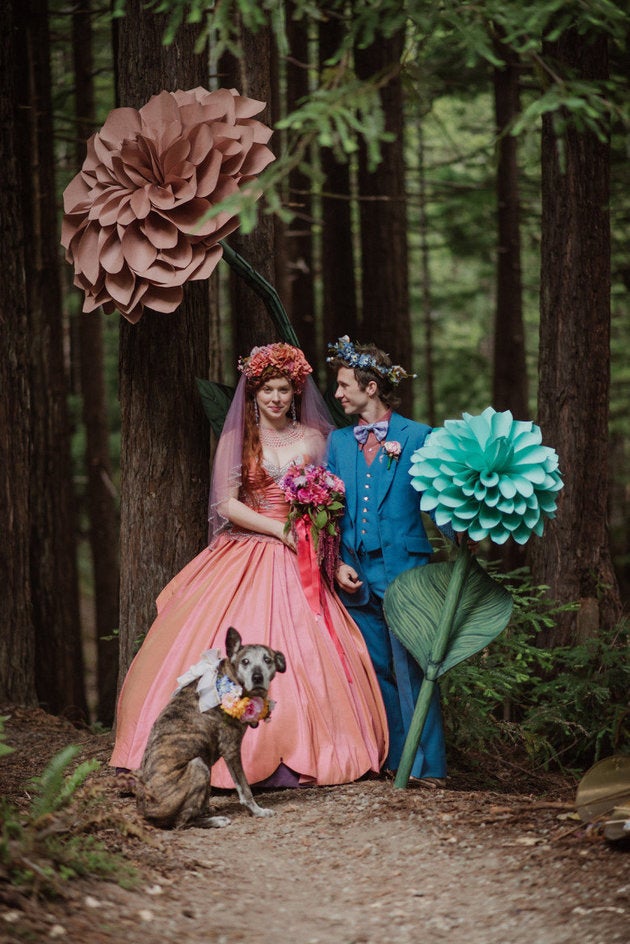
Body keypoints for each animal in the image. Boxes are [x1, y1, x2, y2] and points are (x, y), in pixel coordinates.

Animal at [138, 632, 288, 828]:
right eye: (245, 661)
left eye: (267, 660)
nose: (257, 677)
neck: (230, 678)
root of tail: (146, 812)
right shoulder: (231, 750)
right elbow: (244, 788)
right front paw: (258, 811)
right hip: (198, 765)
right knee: (182, 822)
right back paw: (215, 820)